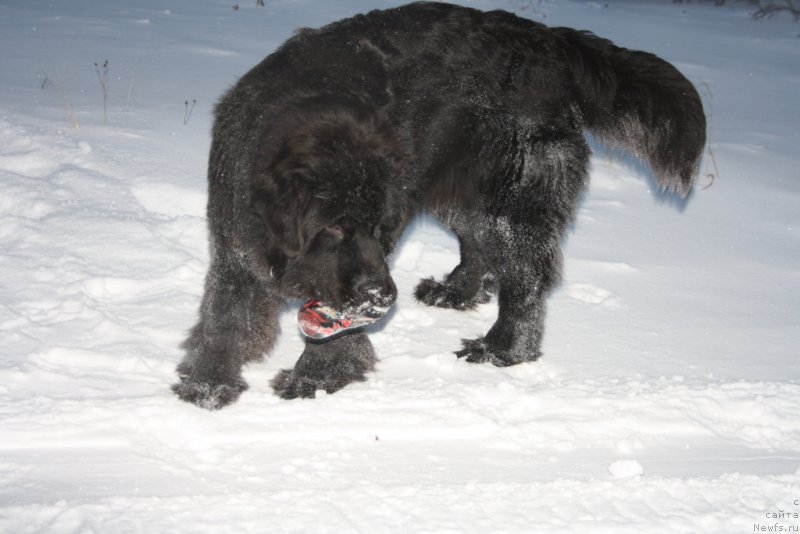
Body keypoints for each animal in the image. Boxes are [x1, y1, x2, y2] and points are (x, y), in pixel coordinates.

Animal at [172, 2, 704, 410]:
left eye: (382, 228)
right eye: (334, 228)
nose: (383, 299)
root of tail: (550, 40)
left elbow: (332, 330)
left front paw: (316, 377)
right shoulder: (236, 239)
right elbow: (225, 313)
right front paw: (207, 382)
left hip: (510, 192)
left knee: (525, 277)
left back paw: (502, 349)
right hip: (457, 187)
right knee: (479, 245)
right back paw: (456, 292)